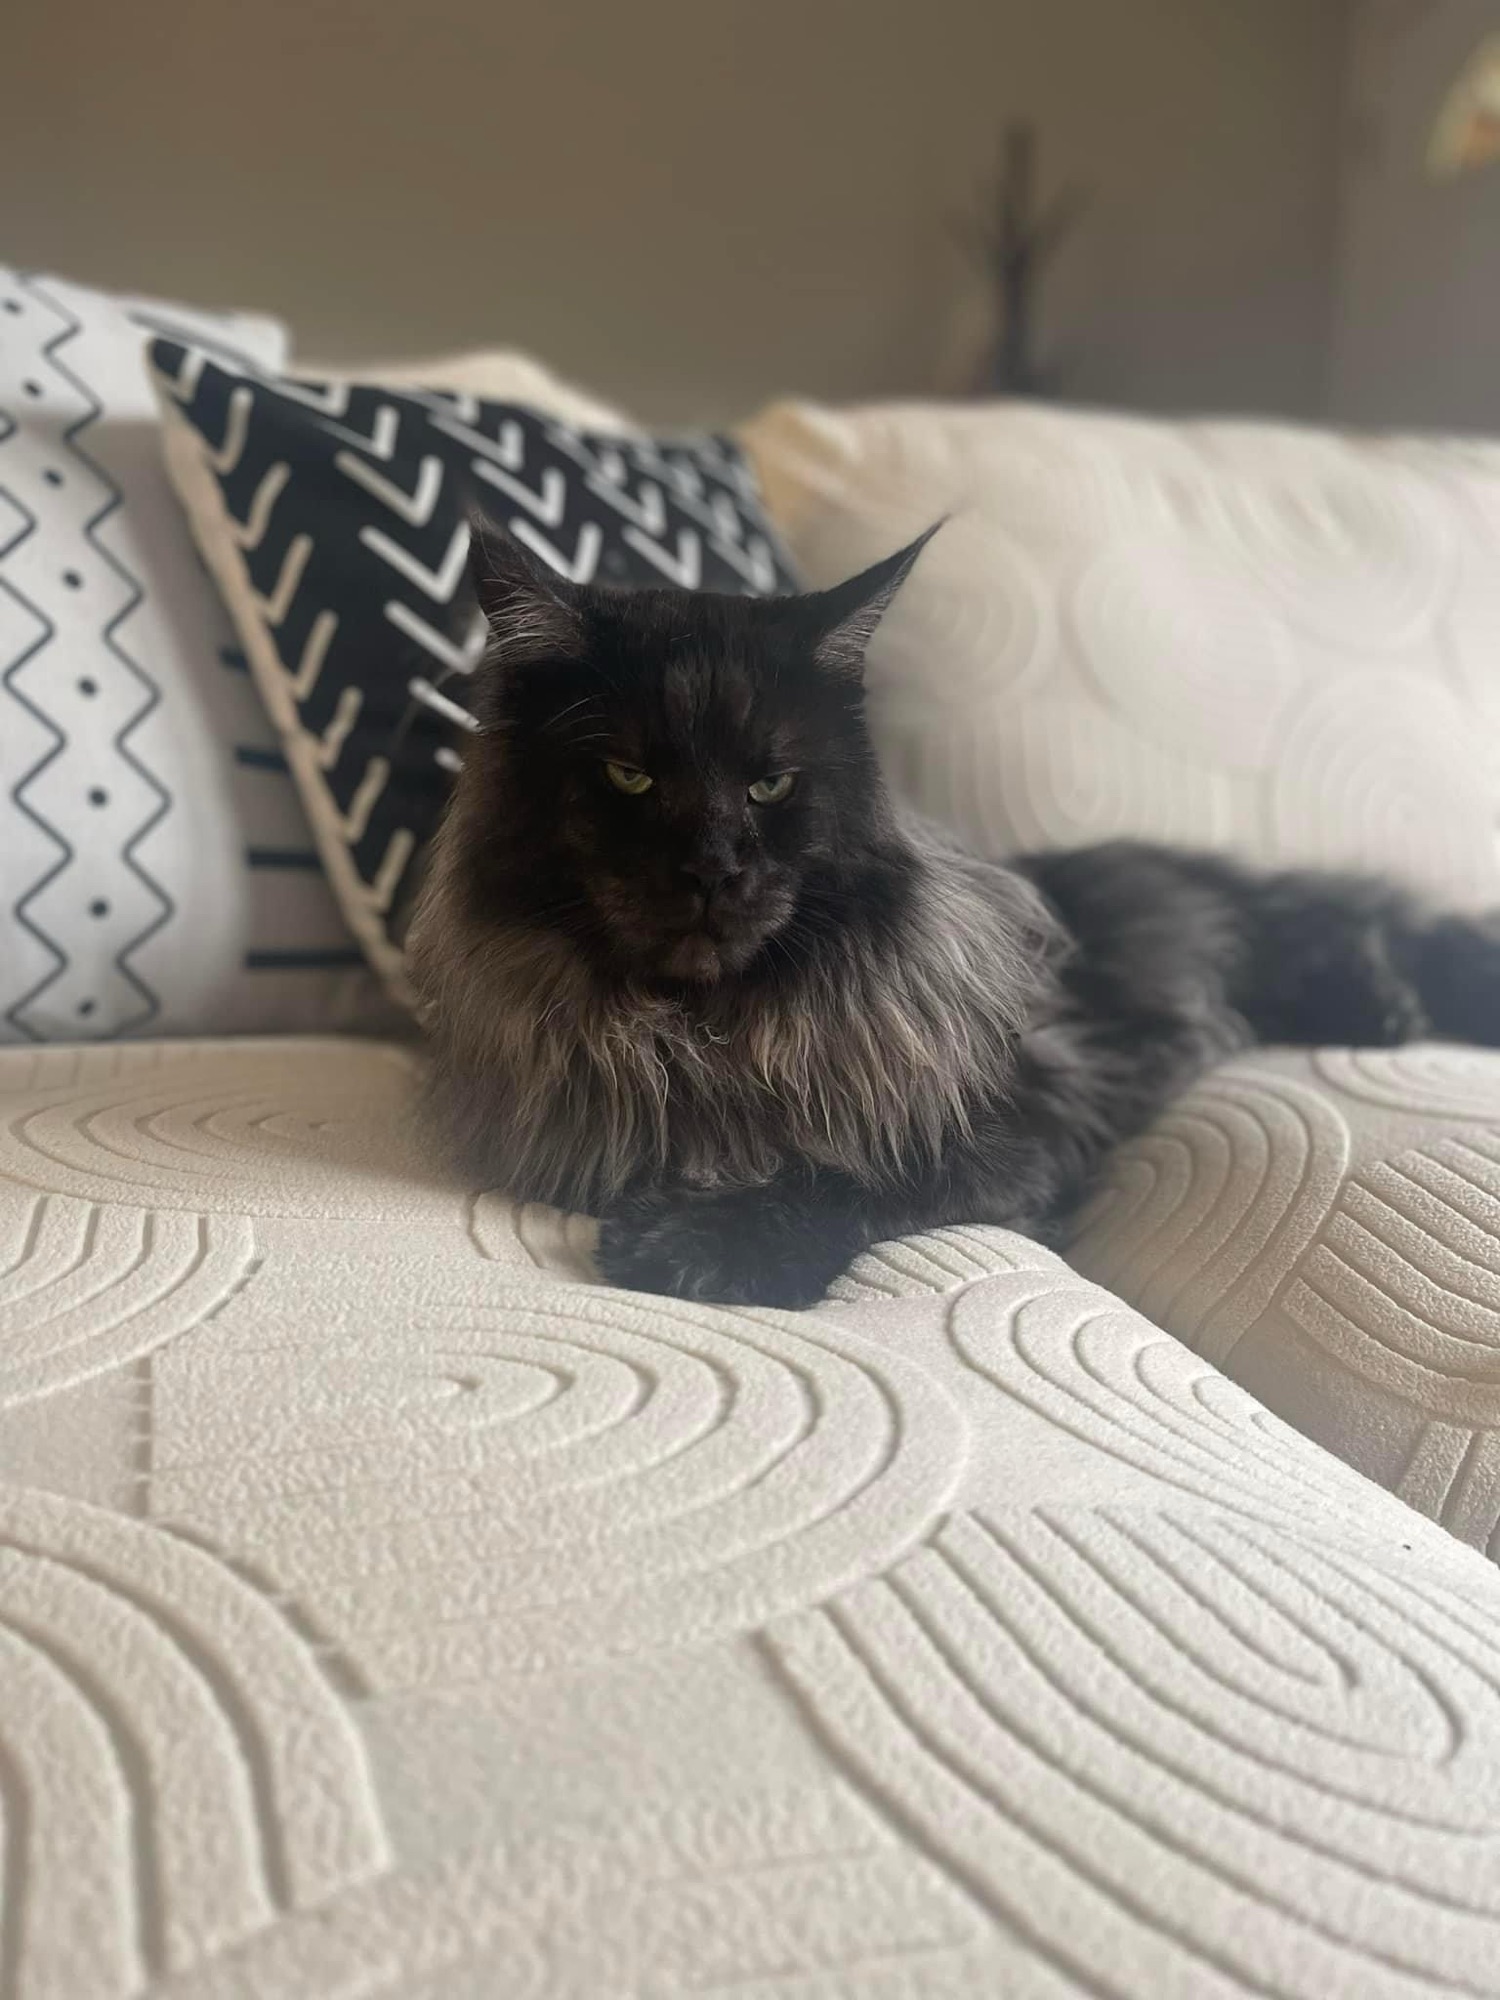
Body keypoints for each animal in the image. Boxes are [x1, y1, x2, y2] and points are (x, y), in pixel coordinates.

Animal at [408, 519, 1500, 1309]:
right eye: (630, 775)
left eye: (771, 784)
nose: (714, 869)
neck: (703, 1031)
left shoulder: (1009, 1123)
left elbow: (850, 1177)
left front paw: (697, 1246)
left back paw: (1386, 1008)